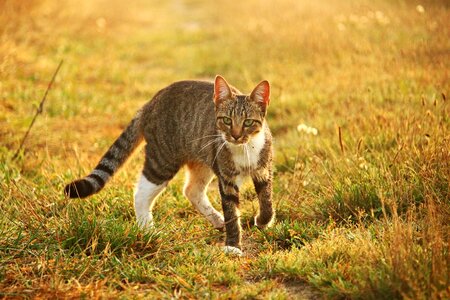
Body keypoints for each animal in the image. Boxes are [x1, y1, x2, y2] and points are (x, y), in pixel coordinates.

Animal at [63, 75, 274, 255]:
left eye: (248, 122)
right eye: (227, 120)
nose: (235, 136)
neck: (244, 149)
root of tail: (150, 102)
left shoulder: (263, 170)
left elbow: (267, 201)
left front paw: (263, 221)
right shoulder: (226, 178)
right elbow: (231, 213)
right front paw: (233, 246)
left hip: (202, 161)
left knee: (191, 190)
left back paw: (216, 219)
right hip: (161, 161)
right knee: (141, 194)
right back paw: (148, 231)